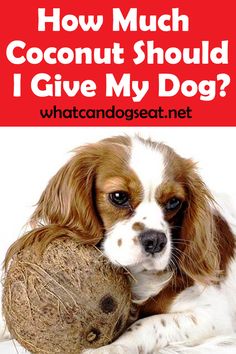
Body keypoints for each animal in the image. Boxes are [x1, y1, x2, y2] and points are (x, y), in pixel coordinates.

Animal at [2, 135, 236, 352]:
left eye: (173, 202)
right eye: (119, 196)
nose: (155, 241)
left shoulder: (214, 316)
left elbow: (148, 323)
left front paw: (113, 347)